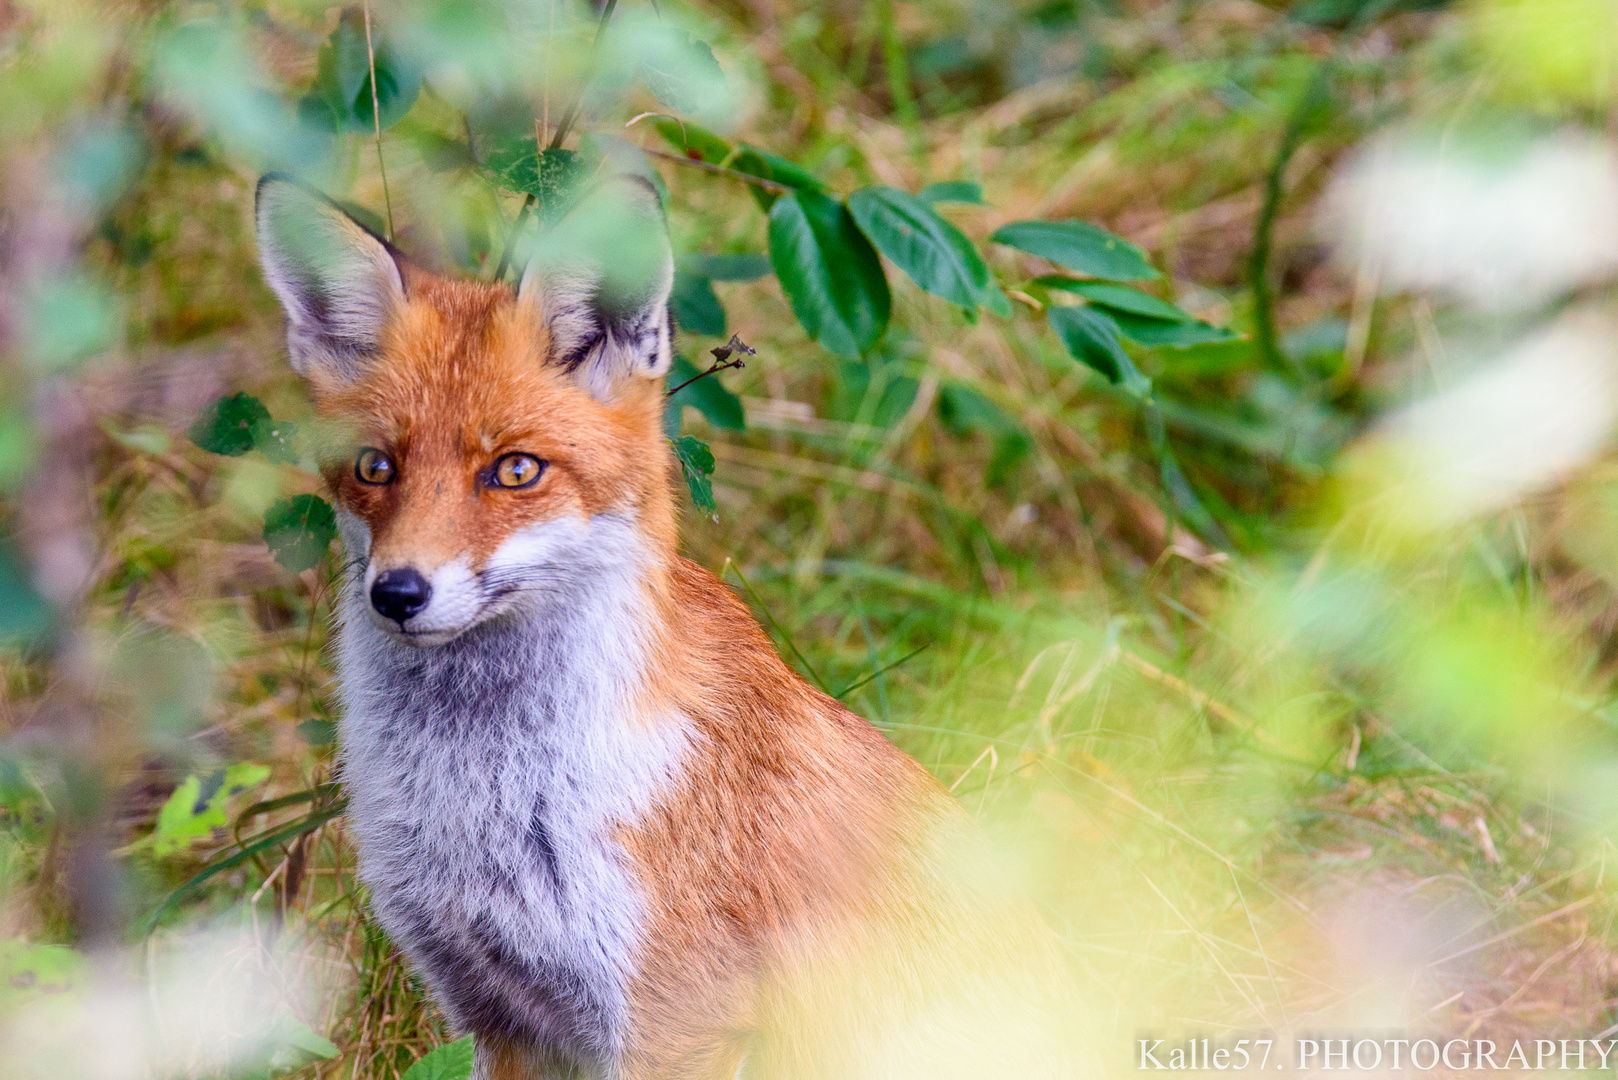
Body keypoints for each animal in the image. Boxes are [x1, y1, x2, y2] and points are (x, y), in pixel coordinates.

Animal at [252, 173, 1080, 1075]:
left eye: (515, 470)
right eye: (376, 468)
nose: (398, 592)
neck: (491, 799)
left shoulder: (669, 1020)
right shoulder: (501, 1016)